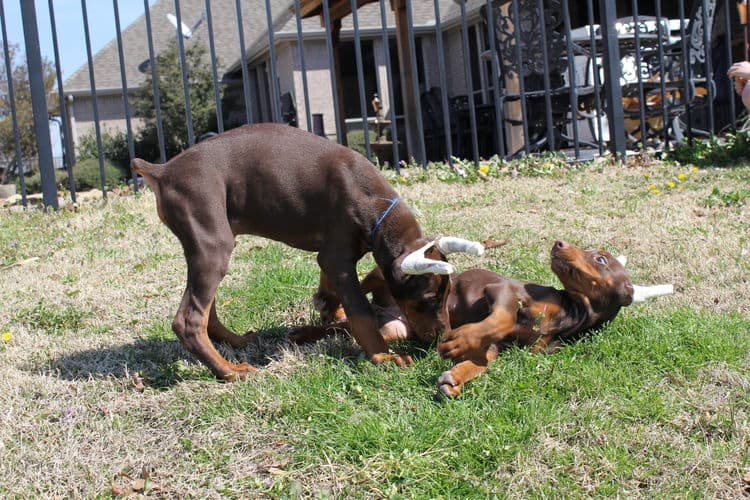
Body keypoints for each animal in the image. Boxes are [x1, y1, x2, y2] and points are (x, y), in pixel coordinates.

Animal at [129, 123, 482, 380]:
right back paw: (229, 371)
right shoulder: (338, 256)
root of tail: (162, 170)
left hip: (207, 247)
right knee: (189, 320)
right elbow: (361, 311)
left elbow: (332, 291)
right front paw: (382, 356)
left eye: (446, 296)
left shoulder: (335, 255)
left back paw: (237, 342)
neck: (377, 205)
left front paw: (329, 310)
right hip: (212, 242)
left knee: (206, 311)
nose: (442, 338)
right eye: (428, 299)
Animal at [290, 240, 676, 396]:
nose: (559, 242)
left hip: (395, 329)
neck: (571, 312)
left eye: (600, 259)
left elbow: (482, 358)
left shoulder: (502, 348)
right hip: (383, 278)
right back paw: (326, 302)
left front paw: (456, 377)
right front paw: (461, 340)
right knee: (346, 290)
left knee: (346, 326)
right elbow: (500, 318)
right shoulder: (503, 290)